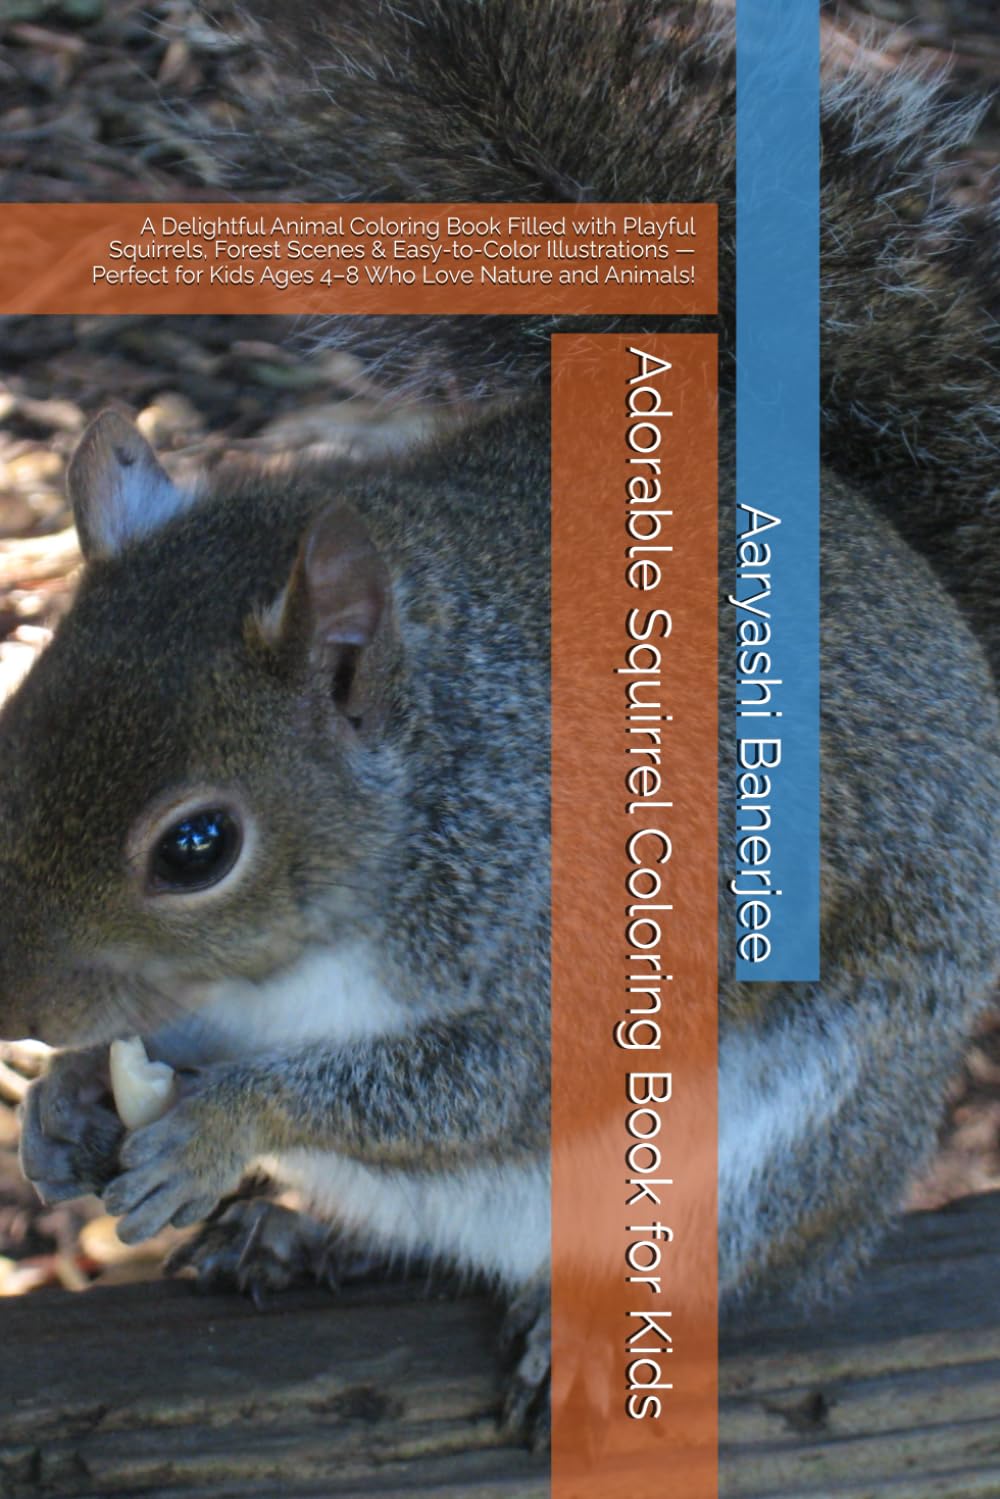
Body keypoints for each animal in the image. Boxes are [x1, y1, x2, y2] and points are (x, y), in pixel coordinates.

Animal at [0, 0, 998, 1451]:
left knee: (713, 1264)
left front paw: (223, 1118)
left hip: (788, 1141)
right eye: (14, 732)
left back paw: (591, 1333)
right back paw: (303, 1238)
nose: (18, 1006)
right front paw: (65, 1107)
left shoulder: (585, 916)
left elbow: (484, 1078)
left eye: (197, 847)